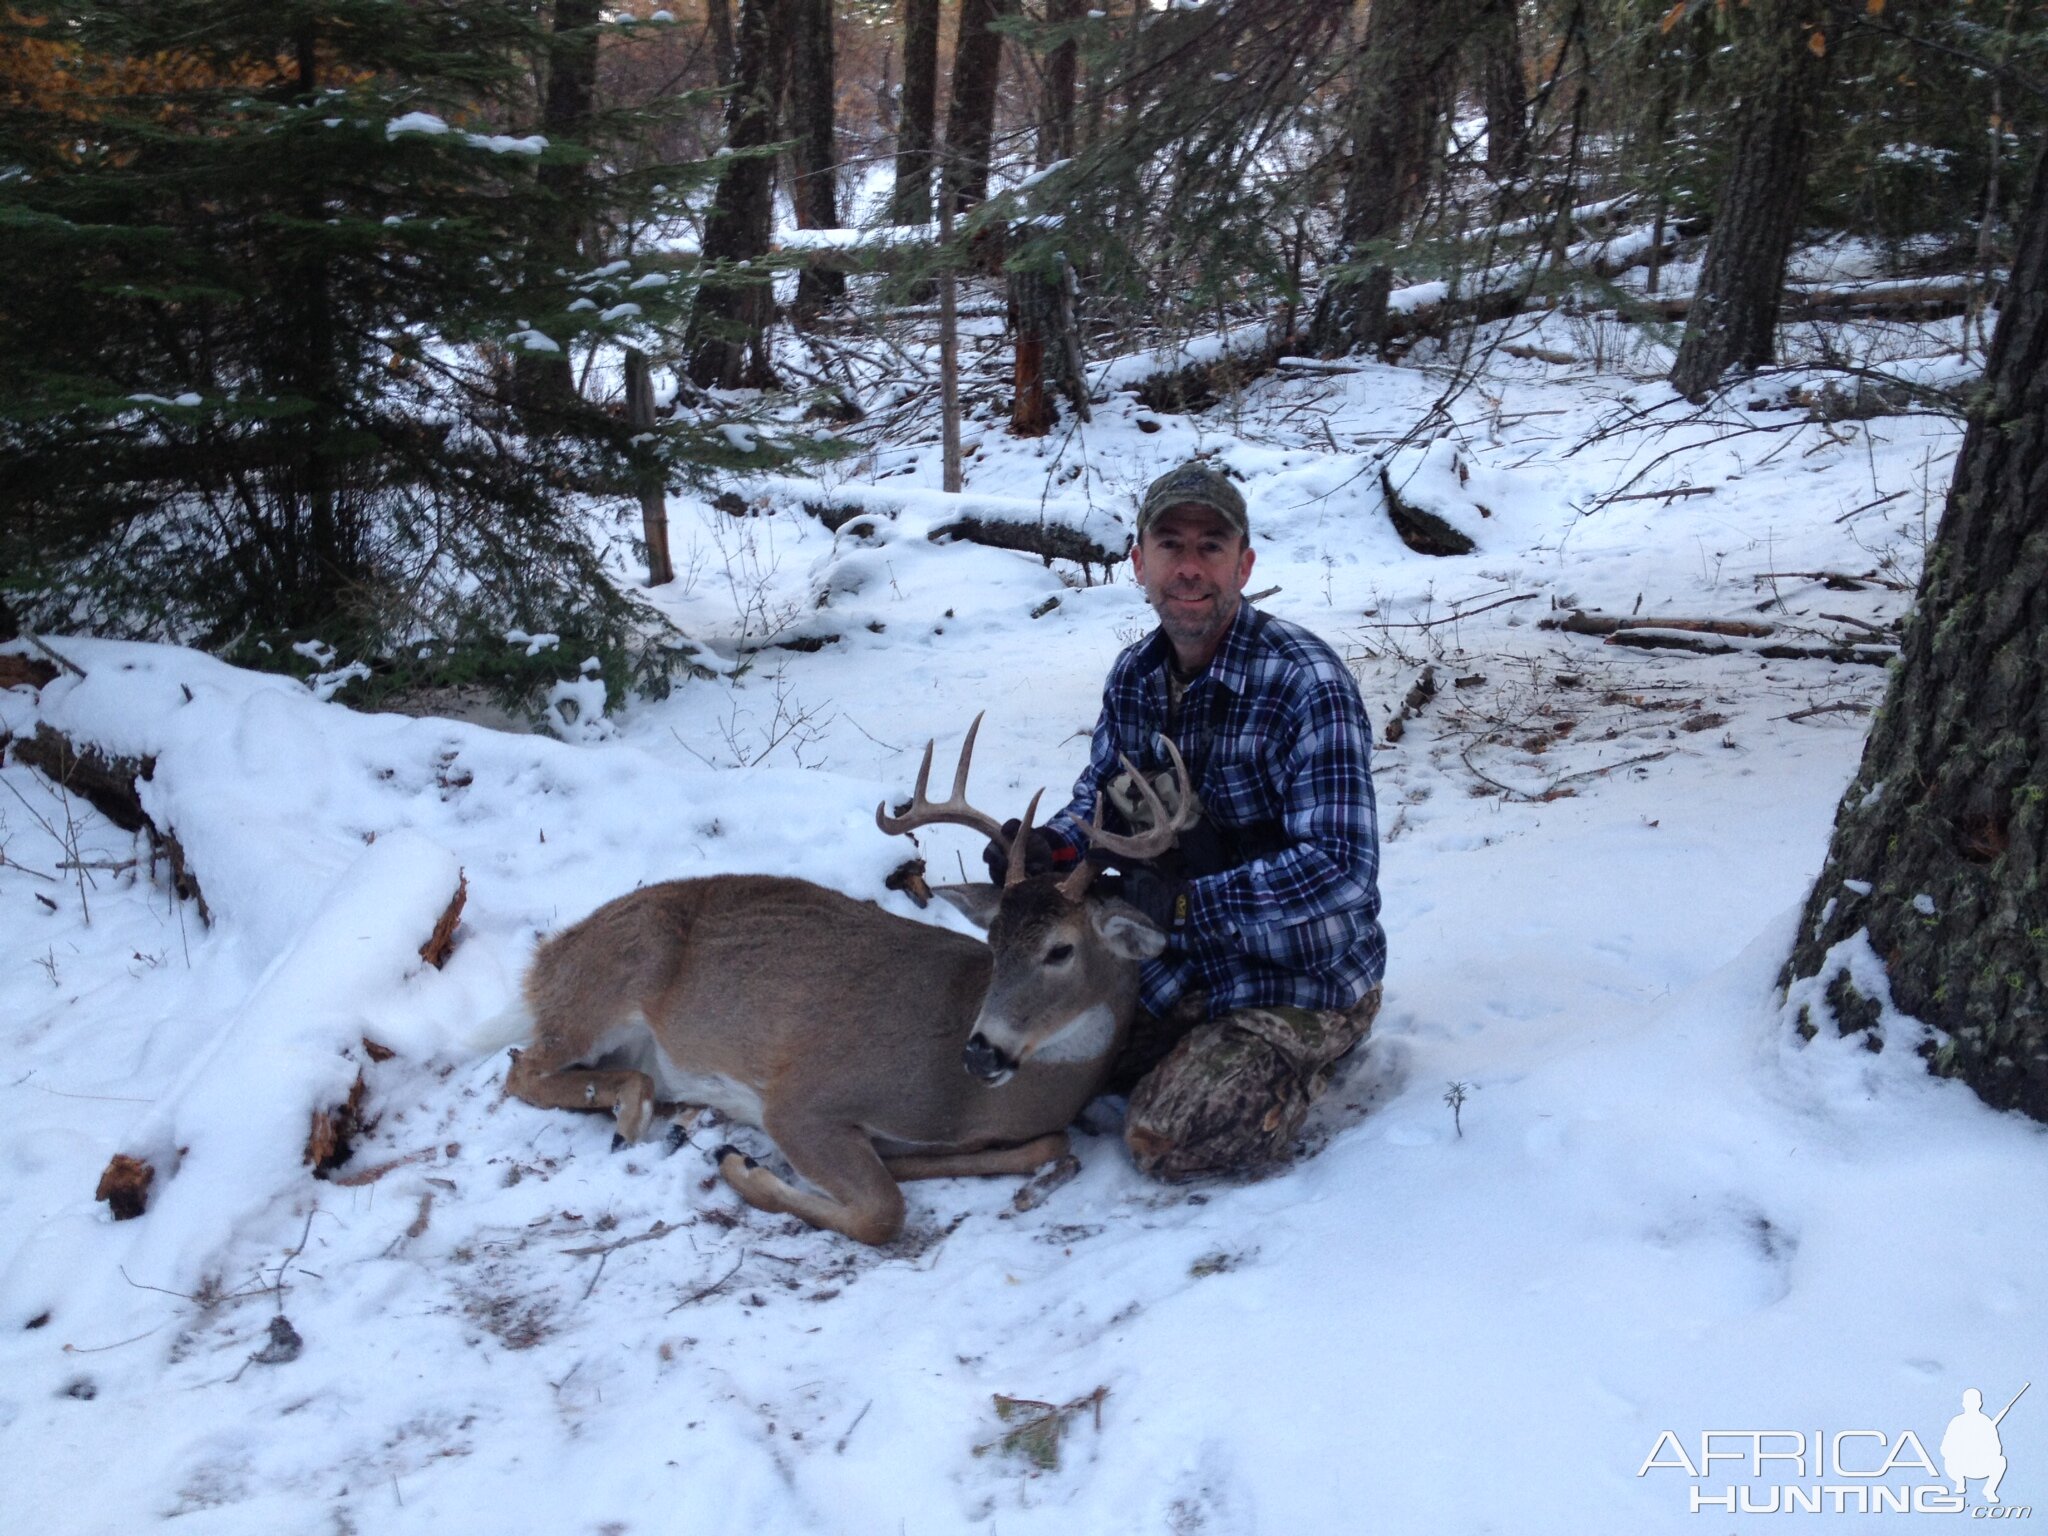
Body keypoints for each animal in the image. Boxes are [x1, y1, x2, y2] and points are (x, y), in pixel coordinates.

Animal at [505, 720, 1196, 1253]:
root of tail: (547, 956)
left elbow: (1046, 1144)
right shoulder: (804, 1099)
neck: (969, 1100)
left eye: (1061, 949)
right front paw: (739, 1162)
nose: (981, 1050)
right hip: (611, 984)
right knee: (522, 1069)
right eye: (994, 943)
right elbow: (882, 1212)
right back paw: (634, 1116)